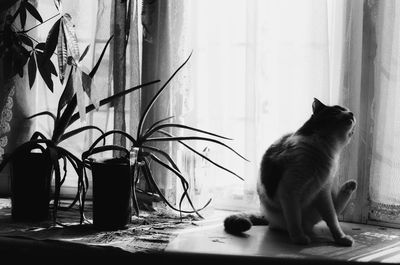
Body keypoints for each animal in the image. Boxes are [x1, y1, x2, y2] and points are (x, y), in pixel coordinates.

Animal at [223, 97, 358, 245]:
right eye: (338, 110)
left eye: (347, 110)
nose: (351, 113)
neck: (325, 149)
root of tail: (265, 215)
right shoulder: (290, 191)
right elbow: (294, 218)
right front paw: (299, 238)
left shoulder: (323, 190)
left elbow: (332, 219)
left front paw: (341, 238)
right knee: (290, 223)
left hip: (316, 205)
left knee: (334, 209)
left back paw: (350, 185)